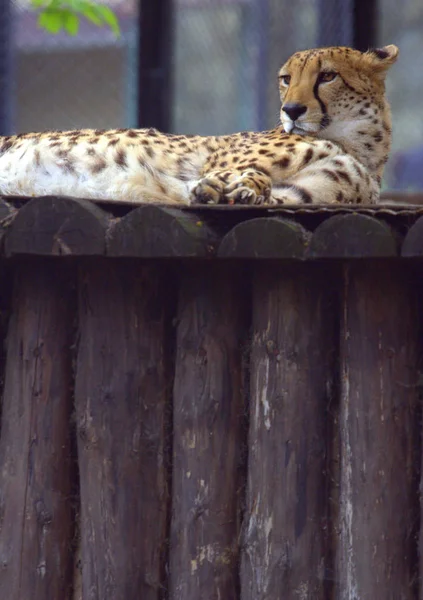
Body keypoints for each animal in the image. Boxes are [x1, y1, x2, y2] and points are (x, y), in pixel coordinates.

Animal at [0, 43, 400, 205]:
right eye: (286, 79)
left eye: (328, 76)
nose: (292, 110)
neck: (358, 145)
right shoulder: (219, 163)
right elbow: (228, 174)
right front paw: (215, 189)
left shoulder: (303, 193)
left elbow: (266, 188)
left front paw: (242, 191)